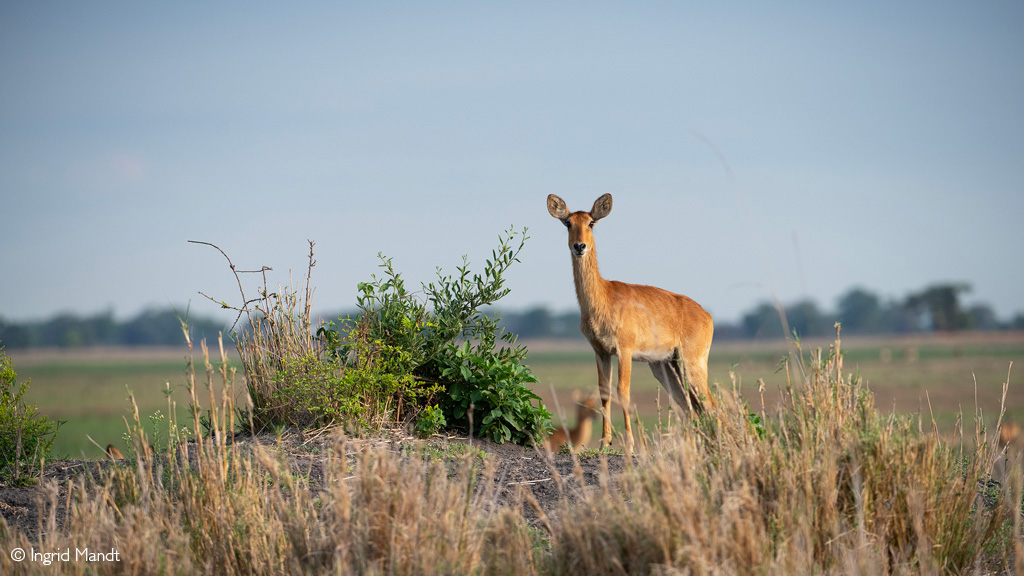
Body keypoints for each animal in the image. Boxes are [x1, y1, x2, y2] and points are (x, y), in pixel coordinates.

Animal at [548, 192, 716, 453]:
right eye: (568, 223)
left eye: (591, 223)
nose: (579, 246)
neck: (604, 298)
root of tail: (707, 315)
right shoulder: (601, 351)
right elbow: (605, 392)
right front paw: (604, 442)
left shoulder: (624, 350)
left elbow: (623, 392)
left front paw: (629, 443)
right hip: (666, 367)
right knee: (691, 409)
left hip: (692, 364)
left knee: (711, 406)